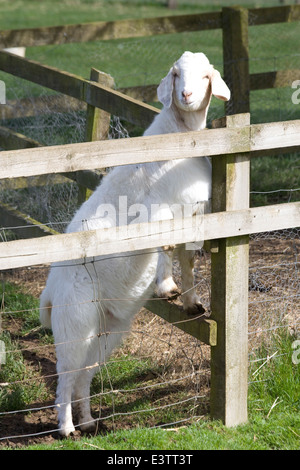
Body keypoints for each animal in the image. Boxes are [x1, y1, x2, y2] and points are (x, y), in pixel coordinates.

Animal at [39, 49, 231, 436]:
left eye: (206, 75)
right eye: (176, 74)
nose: (186, 95)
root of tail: (50, 289)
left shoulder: (193, 214)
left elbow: (188, 258)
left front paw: (191, 301)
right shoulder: (158, 211)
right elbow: (163, 246)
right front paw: (165, 286)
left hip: (106, 327)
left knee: (85, 374)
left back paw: (88, 421)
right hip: (73, 321)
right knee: (66, 374)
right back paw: (66, 427)